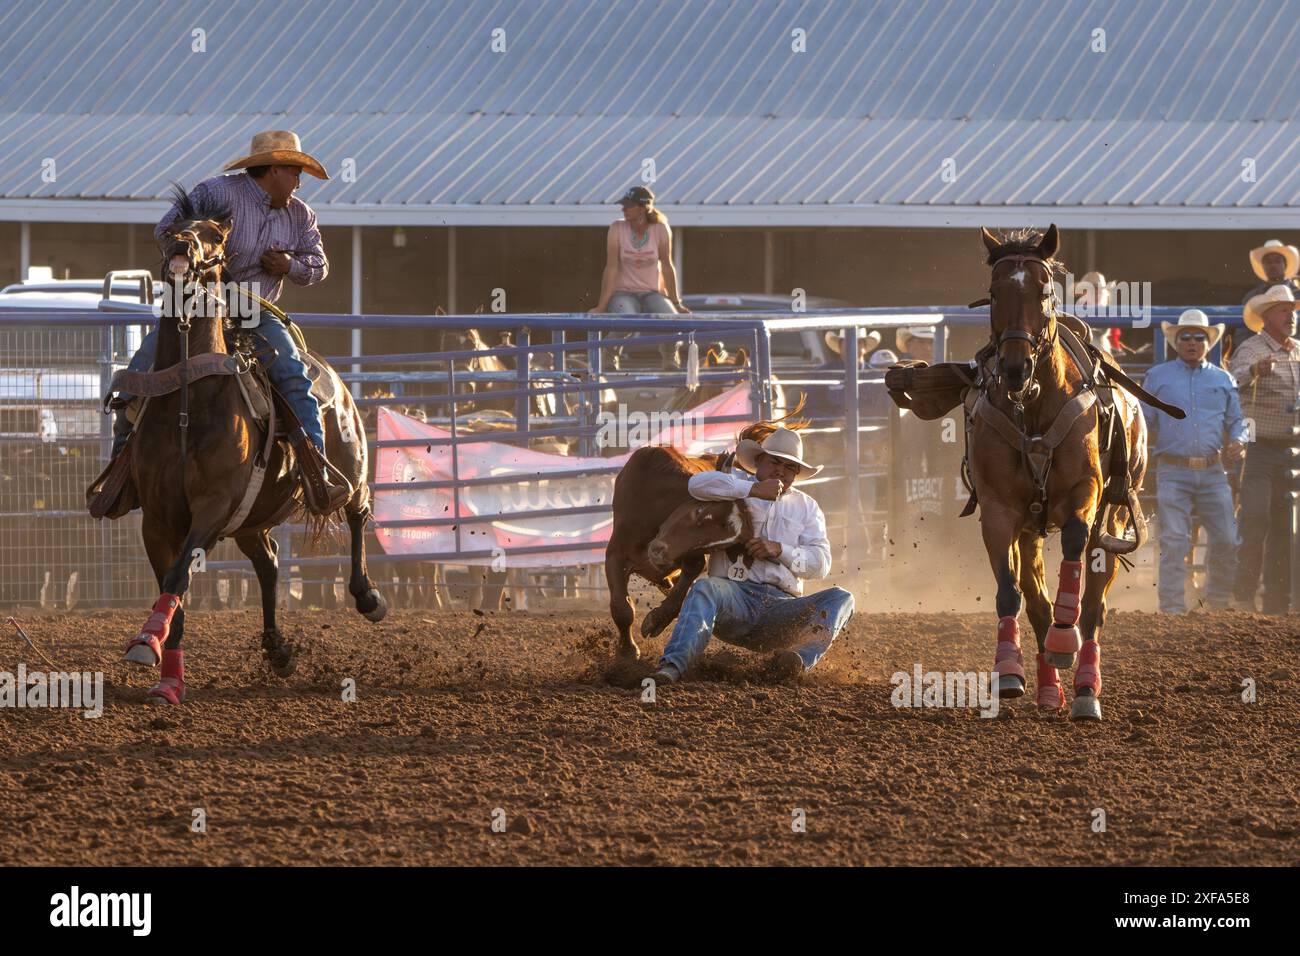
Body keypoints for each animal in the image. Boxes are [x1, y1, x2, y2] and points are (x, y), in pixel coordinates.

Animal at [120, 187, 384, 707]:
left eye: (215, 234)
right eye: (174, 226)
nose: (182, 246)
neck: (189, 403)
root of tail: (334, 376)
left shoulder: (213, 507)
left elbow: (178, 578)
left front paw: (148, 643)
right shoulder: (158, 520)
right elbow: (173, 590)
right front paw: (164, 671)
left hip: (352, 466)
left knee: (357, 513)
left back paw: (367, 596)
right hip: (251, 522)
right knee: (269, 564)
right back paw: (277, 649)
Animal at [972, 223, 1154, 717]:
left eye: (1044, 290)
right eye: (994, 293)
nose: (1015, 367)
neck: (1034, 406)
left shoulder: (1084, 493)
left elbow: (1074, 550)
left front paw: (1063, 636)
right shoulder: (998, 511)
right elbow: (1011, 592)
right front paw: (1008, 669)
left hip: (1114, 516)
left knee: (1093, 607)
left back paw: (1085, 687)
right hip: (1030, 529)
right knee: (1036, 600)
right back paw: (1049, 688)